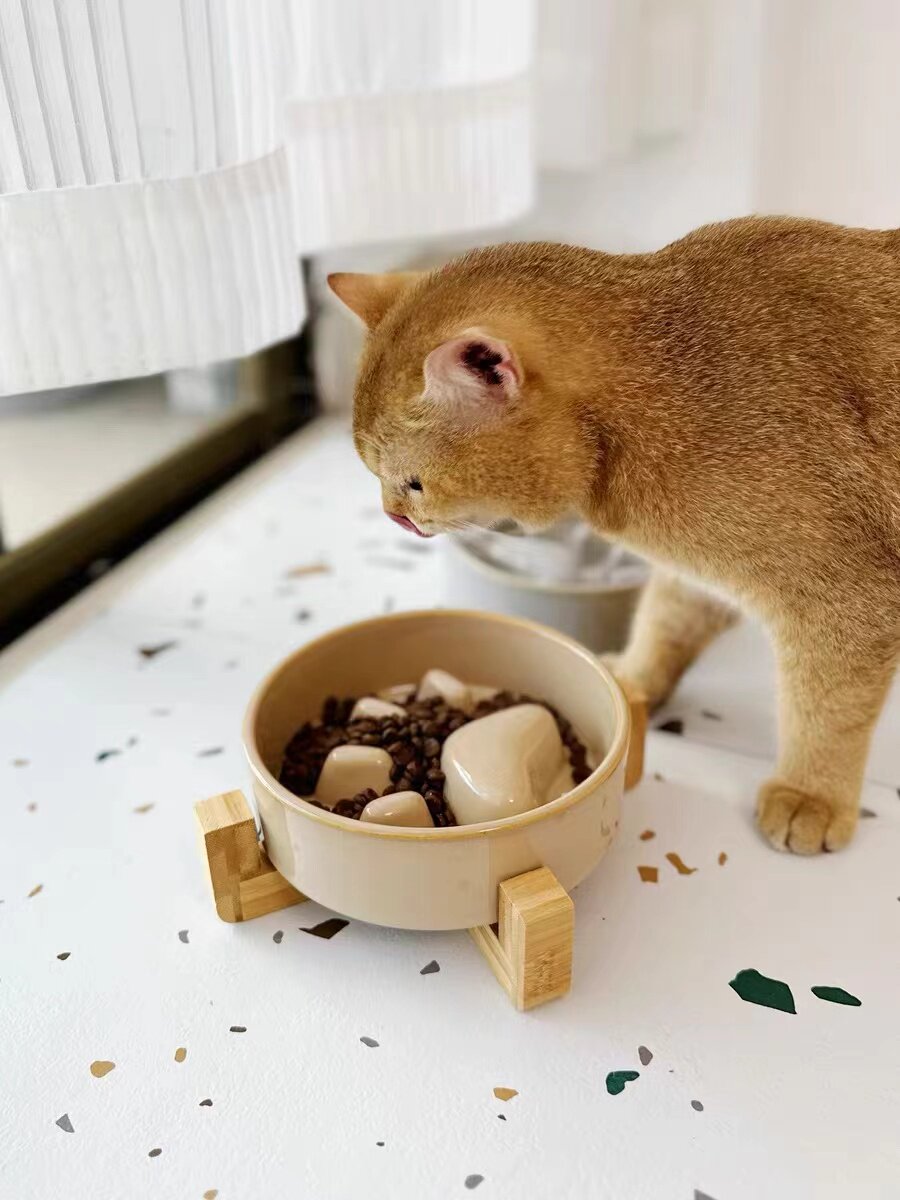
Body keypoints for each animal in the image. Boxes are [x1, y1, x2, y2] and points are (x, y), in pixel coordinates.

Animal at [328, 216, 900, 855]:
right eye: (372, 473)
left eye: (414, 483)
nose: (392, 514)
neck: (672, 386)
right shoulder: (698, 571)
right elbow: (666, 620)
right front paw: (630, 682)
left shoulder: (846, 600)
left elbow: (827, 711)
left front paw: (812, 794)